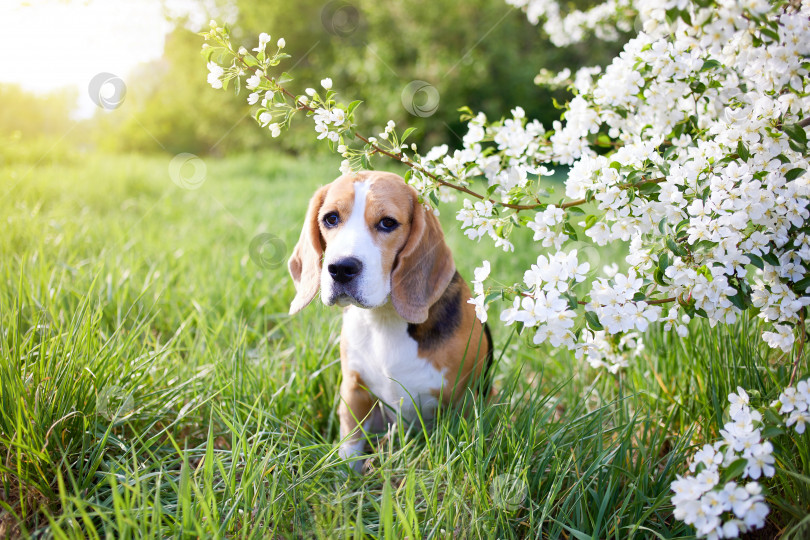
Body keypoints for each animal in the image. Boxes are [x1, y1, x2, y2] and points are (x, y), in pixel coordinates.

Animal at [290, 171, 492, 470]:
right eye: (331, 218)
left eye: (388, 223)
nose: (341, 268)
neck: (383, 318)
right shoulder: (354, 390)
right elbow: (350, 442)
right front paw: (345, 477)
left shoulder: (464, 399)